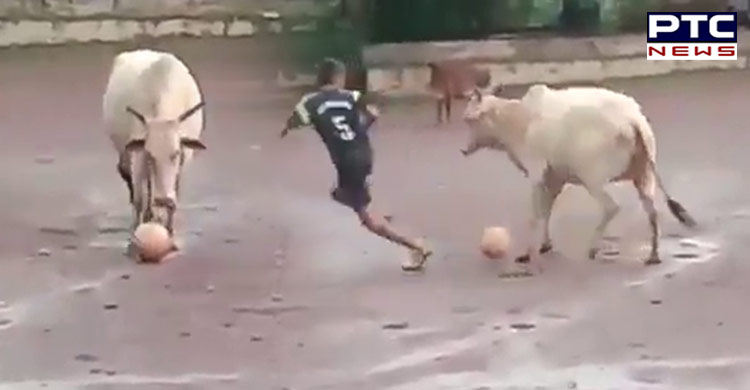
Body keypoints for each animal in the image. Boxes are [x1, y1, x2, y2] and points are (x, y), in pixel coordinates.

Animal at [101, 48, 209, 238]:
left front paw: (169, 228)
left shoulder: (183, 159)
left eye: (176, 153)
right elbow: (138, 199)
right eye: (150, 154)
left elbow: (174, 192)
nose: (163, 200)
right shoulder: (138, 155)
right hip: (124, 152)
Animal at [464, 84, 700, 266]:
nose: (464, 150)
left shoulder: (536, 172)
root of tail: (633, 120)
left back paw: (593, 248)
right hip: (643, 175)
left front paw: (526, 254)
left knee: (611, 207)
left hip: (592, 177)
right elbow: (547, 210)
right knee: (652, 211)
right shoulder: (555, 178)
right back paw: (653, 255)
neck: (517, 119)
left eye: (469, 119)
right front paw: (545, 245)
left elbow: (535, 214)